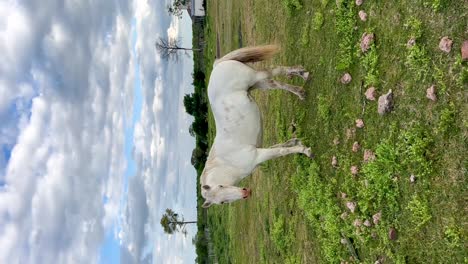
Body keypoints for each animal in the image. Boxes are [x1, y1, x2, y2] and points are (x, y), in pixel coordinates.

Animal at [200, 44, 312, 208]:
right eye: (222, 202)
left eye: (221, 186)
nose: (246, 193)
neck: (227, 163)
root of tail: (217, 65)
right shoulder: (259, 150)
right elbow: (282, 146)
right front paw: (297, 142)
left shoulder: (258, 155)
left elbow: (281, 151)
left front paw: (305, 151)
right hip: (257, 84)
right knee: (275, 84)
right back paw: (300, 91)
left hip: (256, 77)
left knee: (275, 71)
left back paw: (303, 73)